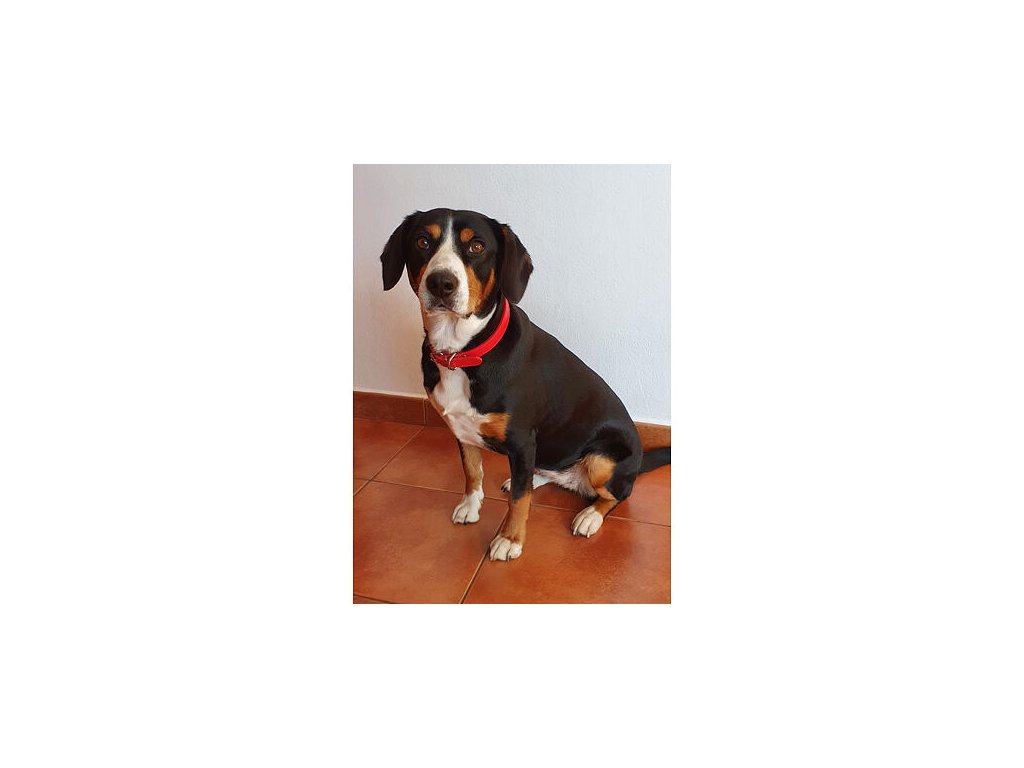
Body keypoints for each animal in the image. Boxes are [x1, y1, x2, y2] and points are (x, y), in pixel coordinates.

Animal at [379, 208, 670, 561]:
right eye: (422, 241)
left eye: (476, 246)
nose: (441, 283)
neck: (462, 353)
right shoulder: (461, 429)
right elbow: (472, 472)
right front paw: (471, 507)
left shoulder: (521, 439)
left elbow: (519, 500)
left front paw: (509, 539)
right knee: (548, 475)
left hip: (603, 460)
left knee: (617, 495)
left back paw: (589, 516)